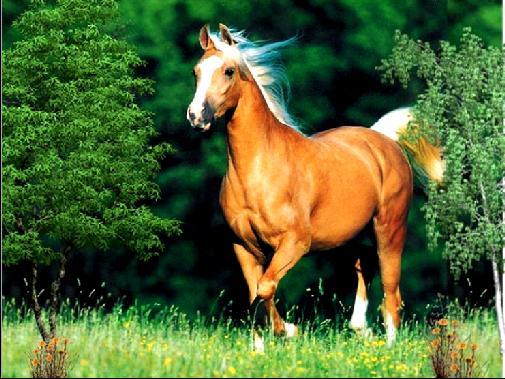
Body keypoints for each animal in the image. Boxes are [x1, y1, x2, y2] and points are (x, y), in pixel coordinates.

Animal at [185, 23, 440, 350]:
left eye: (229, 71)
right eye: (196, 71)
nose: (196, 116)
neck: (260, 169)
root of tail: (385, 141)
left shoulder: (295, 243)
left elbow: (265, 288)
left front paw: (290, 330)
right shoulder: (243, 246)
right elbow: (257, 293)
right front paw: (259, 349)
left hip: (390, 230)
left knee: (391, 295)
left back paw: (389, 347)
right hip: (356, 236)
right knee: (364, 271)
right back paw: (361, 329)